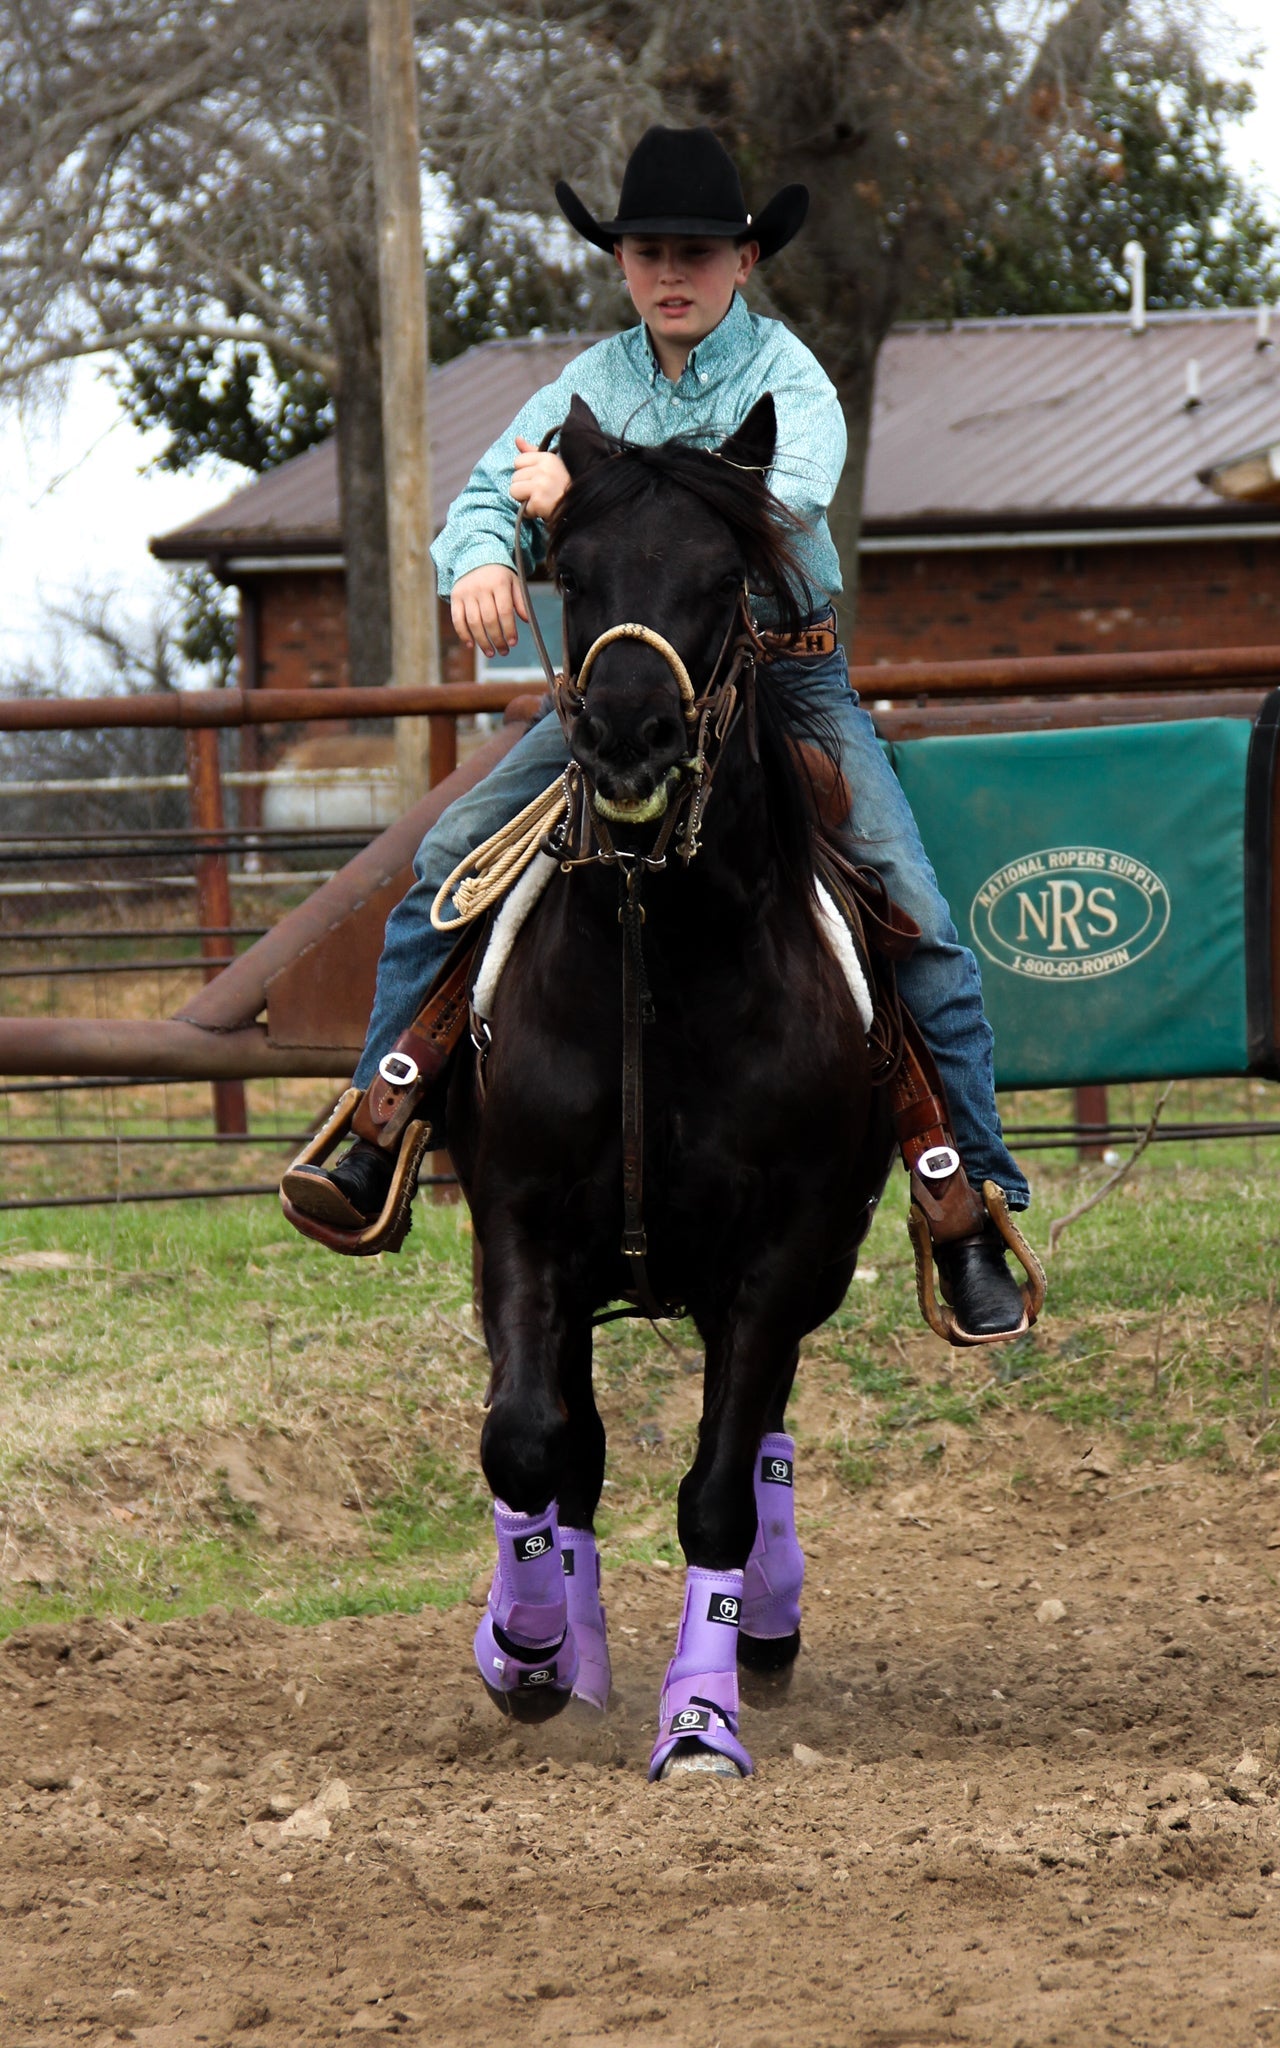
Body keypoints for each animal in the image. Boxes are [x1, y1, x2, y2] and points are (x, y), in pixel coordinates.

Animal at [448, 391, 888, 1769]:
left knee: (758, 1443)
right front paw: (528, 1645)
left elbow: (713, 1496)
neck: (663, 960)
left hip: (806, 1266)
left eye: (719, 581)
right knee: (573, 1449)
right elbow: (529, 1441)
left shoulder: (780, 1249)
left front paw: (700, 1714)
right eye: (571, 574)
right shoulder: (518, 1222)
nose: (627, 734)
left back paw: (765, 1632)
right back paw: (571, 1653)